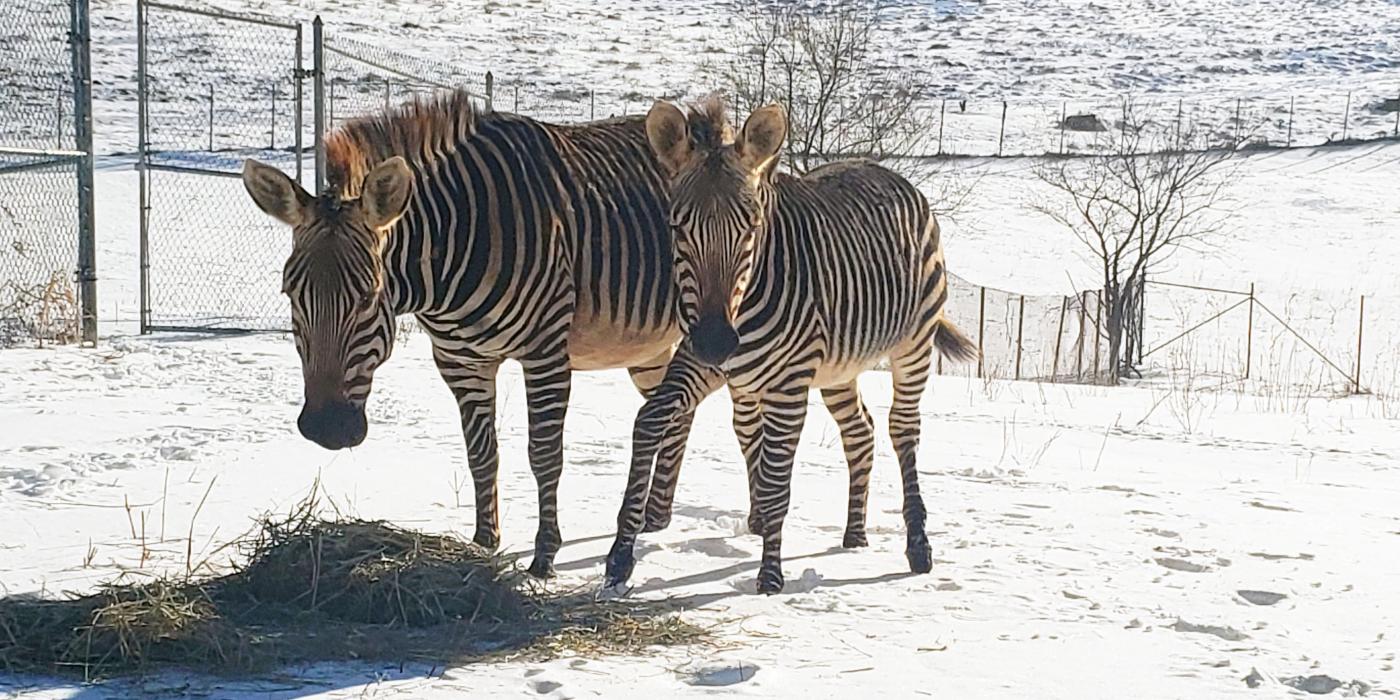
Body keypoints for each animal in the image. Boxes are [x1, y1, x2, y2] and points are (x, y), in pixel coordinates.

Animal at [242, 90, 700, 576]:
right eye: (291, 293)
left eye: (367, 295)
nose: (327, 429)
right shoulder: (460, 360)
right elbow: (481, 453)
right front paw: (484, 543)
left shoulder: (545, 352)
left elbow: (544, 455)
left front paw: (544, 556)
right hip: (649, 348)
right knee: (678, 409)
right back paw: (656, 516)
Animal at [607, 97, 980, 590]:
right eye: (677, 226)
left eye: (751, 226)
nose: (716, 342)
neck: (740, 305)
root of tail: (891, 173)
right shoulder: (698, 360)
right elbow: (649, 422)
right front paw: (619, 556)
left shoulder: (787, 384)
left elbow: (774, 479)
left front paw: (769, 578)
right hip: (839, 364)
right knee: (860, 430)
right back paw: (854, 534)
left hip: (914, 343)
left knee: (903, 429)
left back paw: (917, 547)